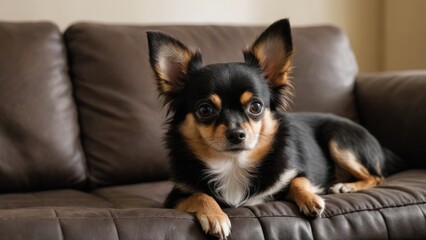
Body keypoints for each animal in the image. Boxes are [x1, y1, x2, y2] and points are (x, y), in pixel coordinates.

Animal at [146, 19, 400, 240]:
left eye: (256, 106)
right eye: (205, 110)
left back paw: (346, 186)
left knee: (377, 176)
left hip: (338, 139)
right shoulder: (175, 196)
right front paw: (215, 216)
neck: (233, 164)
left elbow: (298, 180)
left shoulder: (293, 173)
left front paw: (310, 199)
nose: (236, 134)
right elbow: (200, 194)